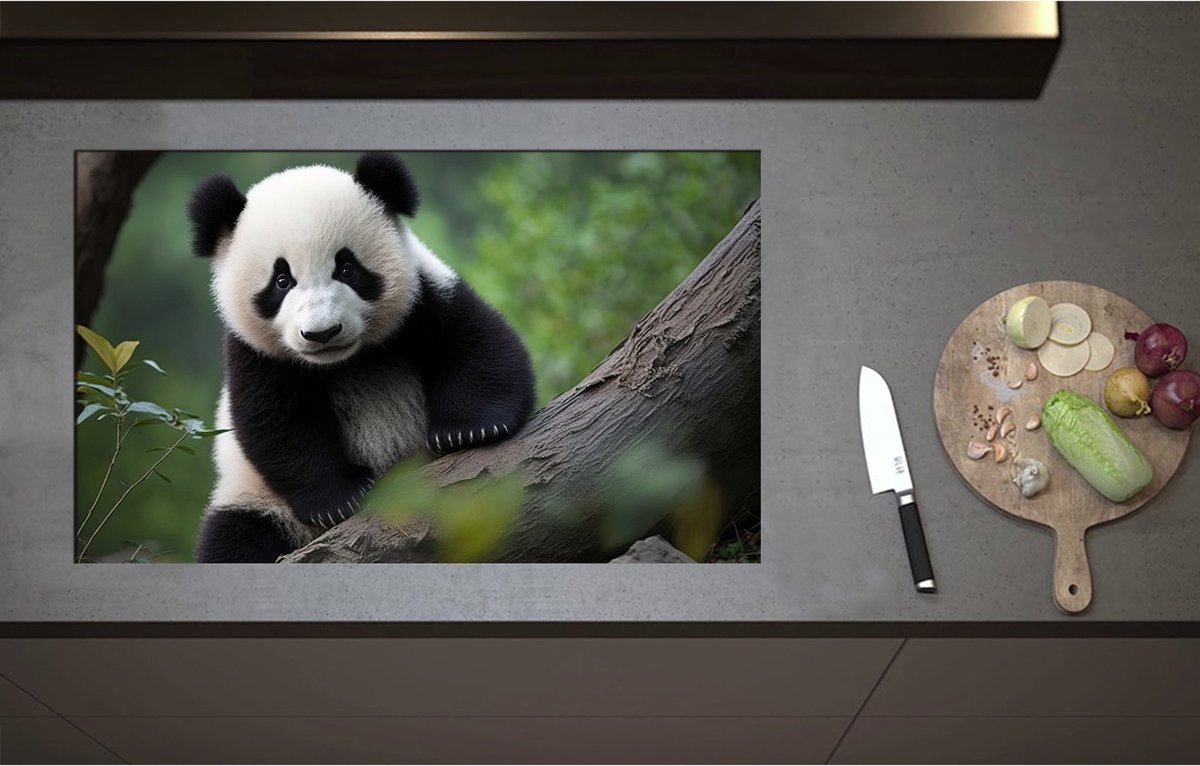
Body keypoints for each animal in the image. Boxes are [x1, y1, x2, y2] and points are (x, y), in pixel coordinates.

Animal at [188, 152, 535, 563]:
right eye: (282, 281)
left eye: (347, 268)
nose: (322, 333)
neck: (346, 361)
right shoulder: (255, 353)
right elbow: (275, 422)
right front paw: (339, 498)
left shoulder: (423, 298)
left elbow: (477, 345)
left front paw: (470, 429)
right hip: (256, 498)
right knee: (237, 537)